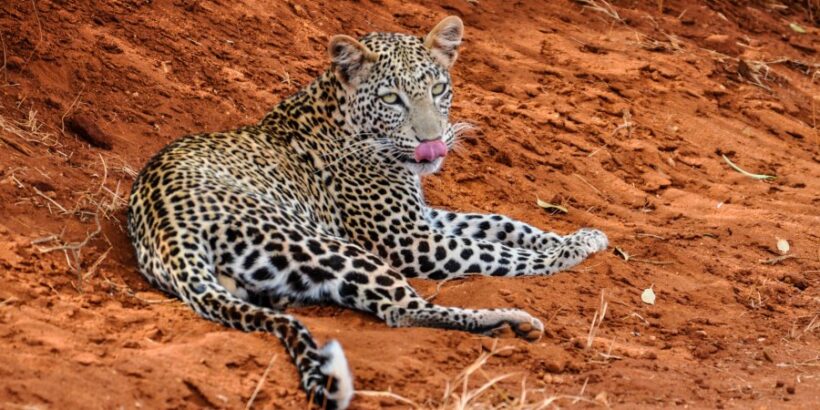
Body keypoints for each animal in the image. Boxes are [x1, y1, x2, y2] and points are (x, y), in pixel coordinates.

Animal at [127, 16, 608, 409]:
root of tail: (165, 228)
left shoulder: (421, 218)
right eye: (392, 99)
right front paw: (569, 251)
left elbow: (499, 223)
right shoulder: (408, 241)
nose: (432, 143)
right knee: (403, 310)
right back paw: (513, 322)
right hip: (322, 243)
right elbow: (496, 253)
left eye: (438, 90)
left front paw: (575, 235)